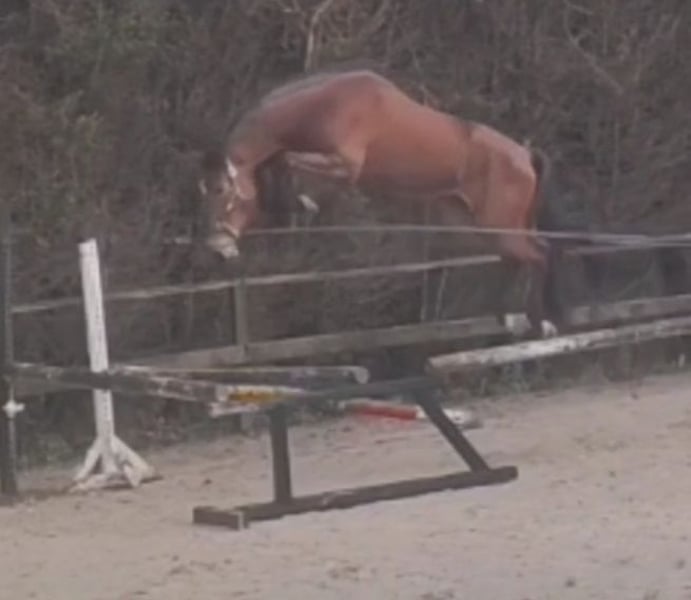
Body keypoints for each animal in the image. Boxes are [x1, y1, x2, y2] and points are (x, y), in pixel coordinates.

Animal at [198, 69, 572, 339]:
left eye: (224, 193)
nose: (217, 250)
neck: (323, 105)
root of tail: (524, 156)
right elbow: (278, 162)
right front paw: (291, 203)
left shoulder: (345, 165)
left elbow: (287, 160)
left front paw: (300, 203)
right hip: (477, 224)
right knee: (516, 258)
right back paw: (508, 318)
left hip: (500, 225)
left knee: (539, 254)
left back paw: (541, 324)